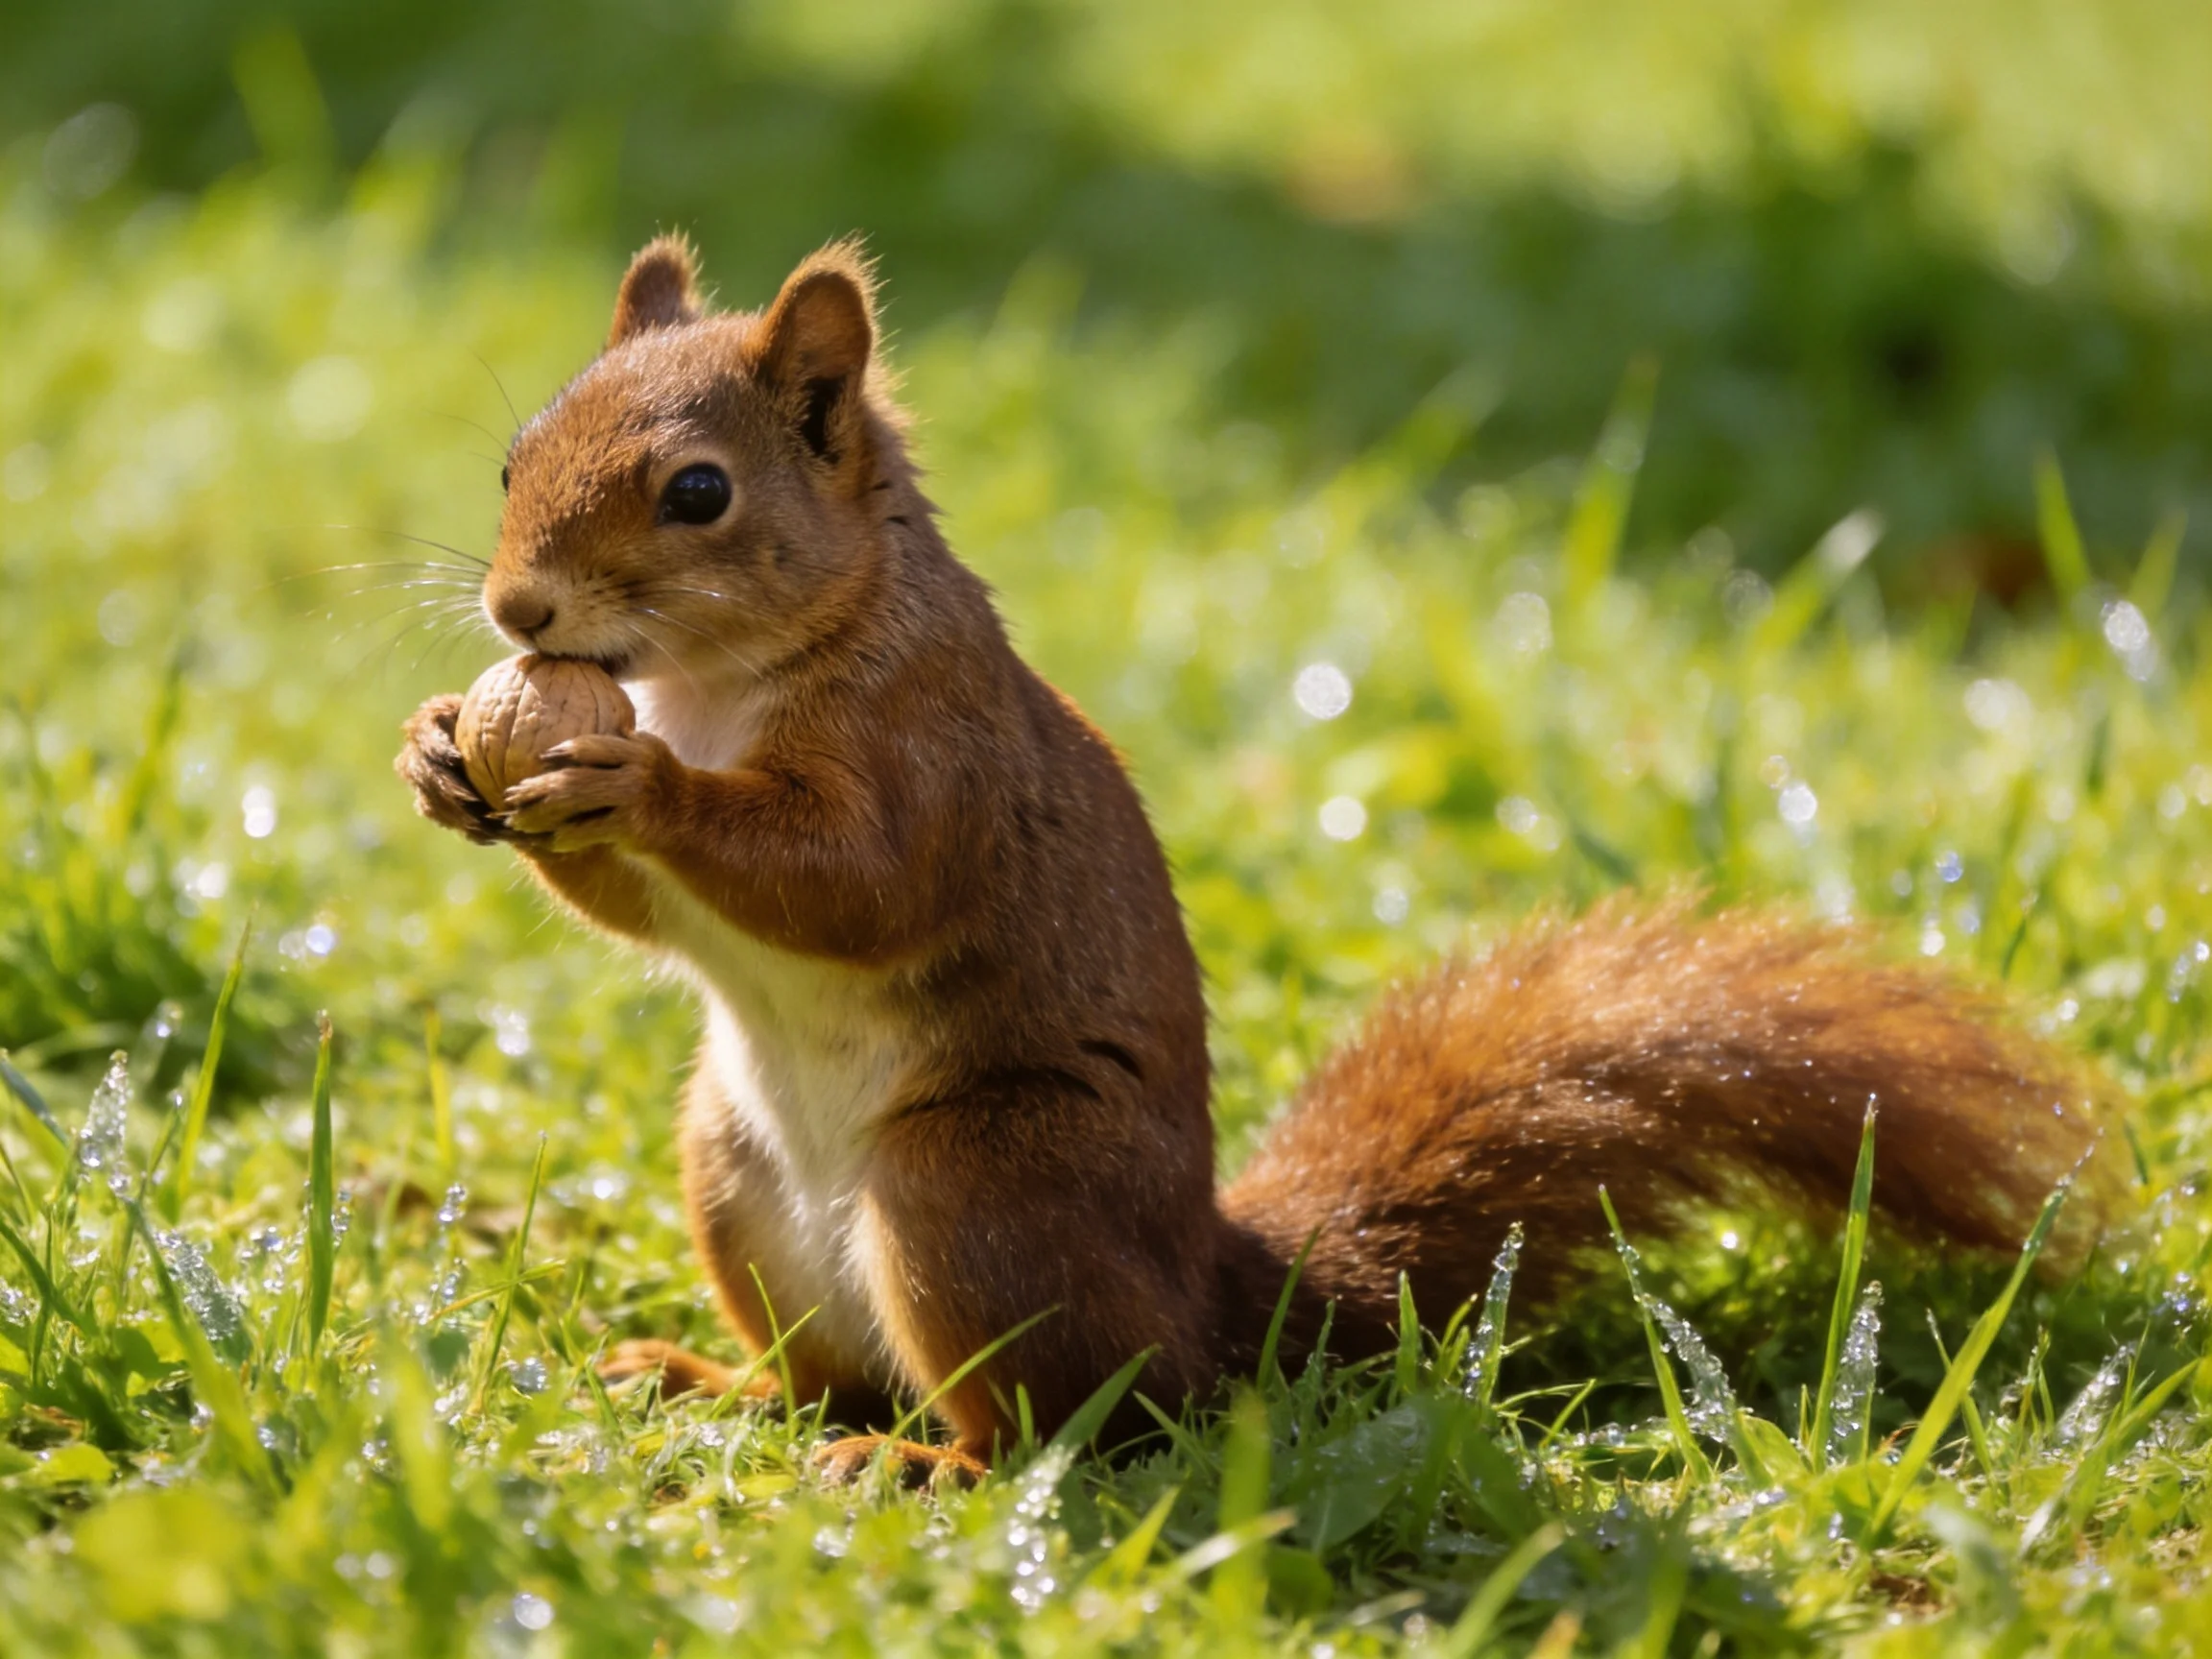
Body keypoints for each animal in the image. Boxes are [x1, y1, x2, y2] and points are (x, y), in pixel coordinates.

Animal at [396, 237, 2109, 1484]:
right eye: (511, 459)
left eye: (700, 491)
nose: (518, 611)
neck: (715, 683)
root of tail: (1214, 1299)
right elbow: (633, 909)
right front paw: (439, 753)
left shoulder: (936, 751)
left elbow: (854, 878)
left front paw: (641, 784)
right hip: (732, 1174)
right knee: (825, 1384)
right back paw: (709, 1380)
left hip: (977, 1192)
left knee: (1060, 1423)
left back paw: (935, 1465)